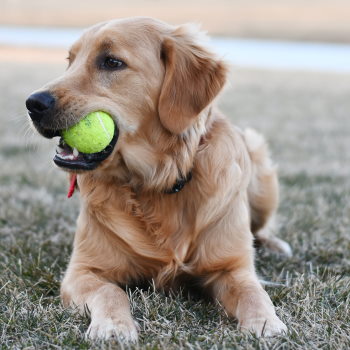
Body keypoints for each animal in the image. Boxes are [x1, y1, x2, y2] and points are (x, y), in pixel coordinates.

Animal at [26, 17, 292, 342]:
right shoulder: (83, 270)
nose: (33, 103)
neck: (157, 181)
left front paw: (266, 323)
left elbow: (254, 293)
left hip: (258, 160)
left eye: (111, 62)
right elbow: (110, 292)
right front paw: (114, 325)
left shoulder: (232, 268)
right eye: (70, 60)